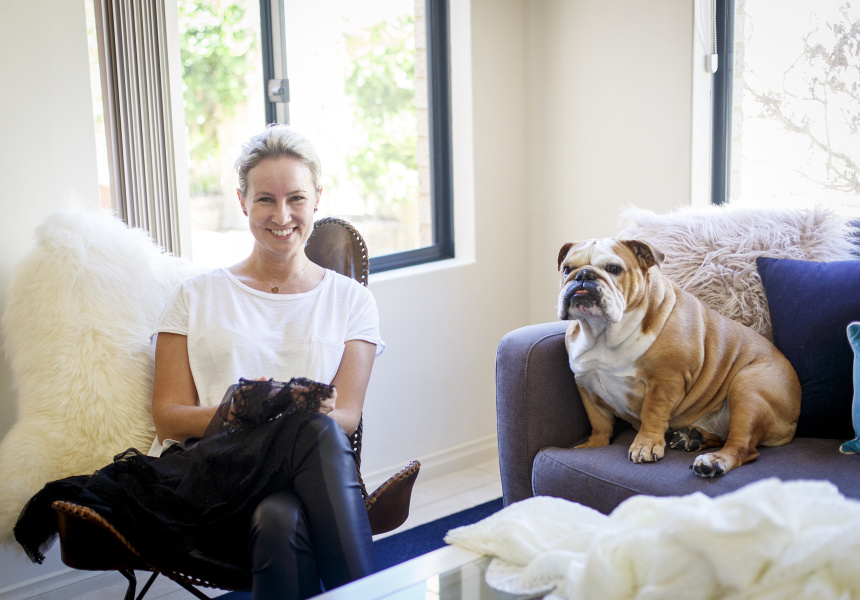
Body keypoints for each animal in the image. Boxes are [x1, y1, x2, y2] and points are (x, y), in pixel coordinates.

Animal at [557, 238, 801, 477]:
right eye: (566, 268)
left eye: (613, 269)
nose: (583, 275)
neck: (602, 334)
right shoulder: (586, 385)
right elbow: (599, 422)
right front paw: (593, 445)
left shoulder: (665, 381)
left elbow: (652, 414)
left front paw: (645, 445)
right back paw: (692, 438)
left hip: (746, 388)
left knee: (743, 446)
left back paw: (712, 461)